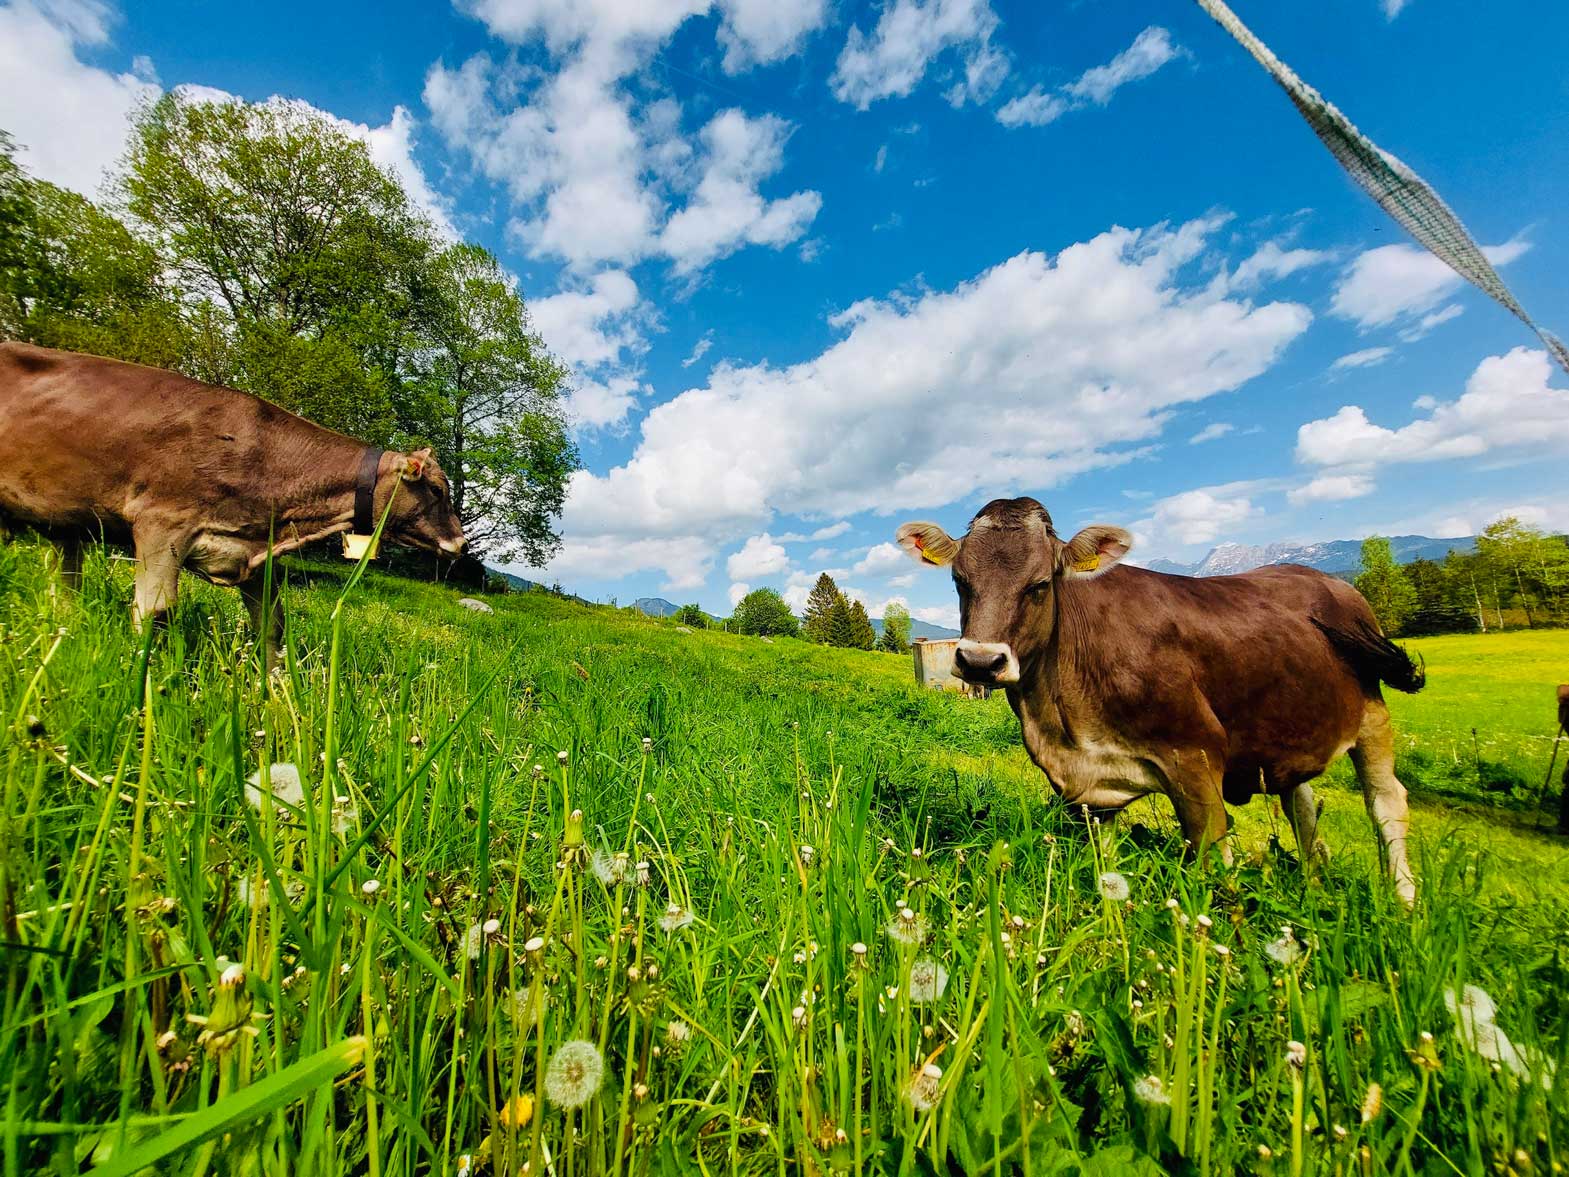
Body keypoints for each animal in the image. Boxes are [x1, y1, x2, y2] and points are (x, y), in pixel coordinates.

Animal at [0, 345, 464, 668]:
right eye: (437, 490)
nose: (460, 544)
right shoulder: (161, 523)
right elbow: (155, 613)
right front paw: (147, 683)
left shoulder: (251, 551)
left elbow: (272, 627)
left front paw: (278, 697)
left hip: (67, 525)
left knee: (65, 587)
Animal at [897, 495, 1424, 903]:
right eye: (960, 582)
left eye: (1040, 584)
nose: (980, 662)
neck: (1061, 719)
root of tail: (1327, 580)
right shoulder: (1089, 791)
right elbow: (1106, 871)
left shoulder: (1195, 758)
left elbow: (1213, 861)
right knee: (1302, 804)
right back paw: (1314, 886)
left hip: (1373, 714)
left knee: (1385, 805)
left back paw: (1403, 904)